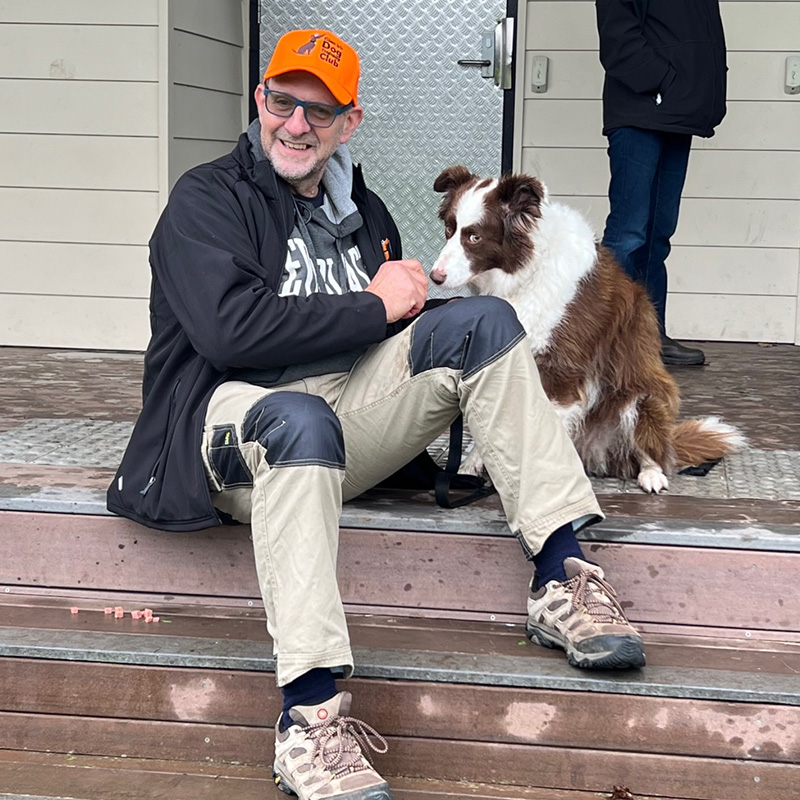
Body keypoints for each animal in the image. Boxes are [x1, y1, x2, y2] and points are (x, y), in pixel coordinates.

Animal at [432, 166, 744, 490]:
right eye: (449, 230)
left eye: (474, 236)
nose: (434, 276)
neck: (526, 273)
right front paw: (471, 466)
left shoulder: (561, 374)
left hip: (642, 395)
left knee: (650, 450)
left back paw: (652, 474)